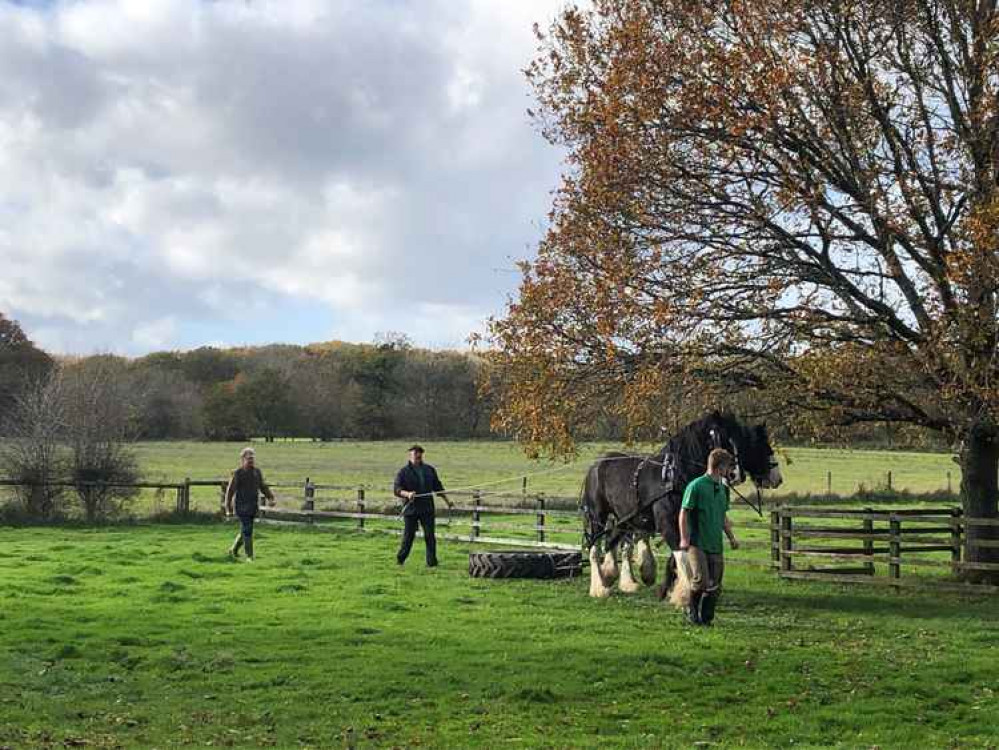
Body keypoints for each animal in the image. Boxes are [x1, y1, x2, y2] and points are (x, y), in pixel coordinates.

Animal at [584, 414, 784, 596]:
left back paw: (616, 577)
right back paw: (599, 587)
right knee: (594, 547)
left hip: (625, 518)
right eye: (762, 448)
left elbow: (679, 558)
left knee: (612, 543)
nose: (778, 478)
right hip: (598, 517)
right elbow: (682, 556)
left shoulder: (688, 524)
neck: (675, 476)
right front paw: (683, 593)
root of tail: (596, 465)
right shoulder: (667, 523)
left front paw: (668, 588)